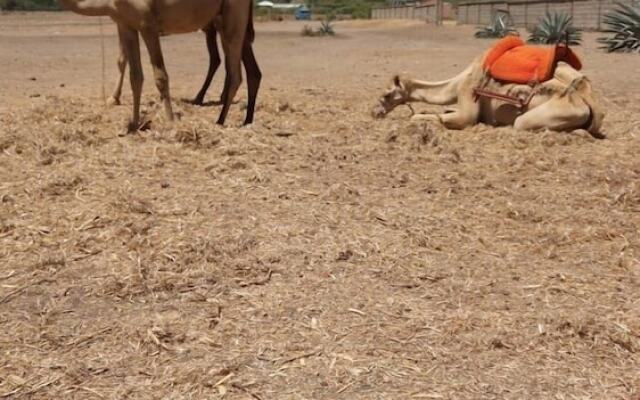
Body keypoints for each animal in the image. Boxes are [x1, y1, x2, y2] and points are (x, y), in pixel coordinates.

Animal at [58, 0, 260, 131]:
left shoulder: (148, 24)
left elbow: (160, 75)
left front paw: (170, 121)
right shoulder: (126, 23)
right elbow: (135, 75)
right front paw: (134, 123)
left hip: (230, 17)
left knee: (234, 72)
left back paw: (219, 120)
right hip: (225, 20)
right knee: (251, 71)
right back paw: (247, 120)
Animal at [370, 46, 604, 138]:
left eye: (387, 94)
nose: (374, 112)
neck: (456, 84)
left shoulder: (468, 94)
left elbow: (459, 118)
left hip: (553, 111)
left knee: (523, 124)